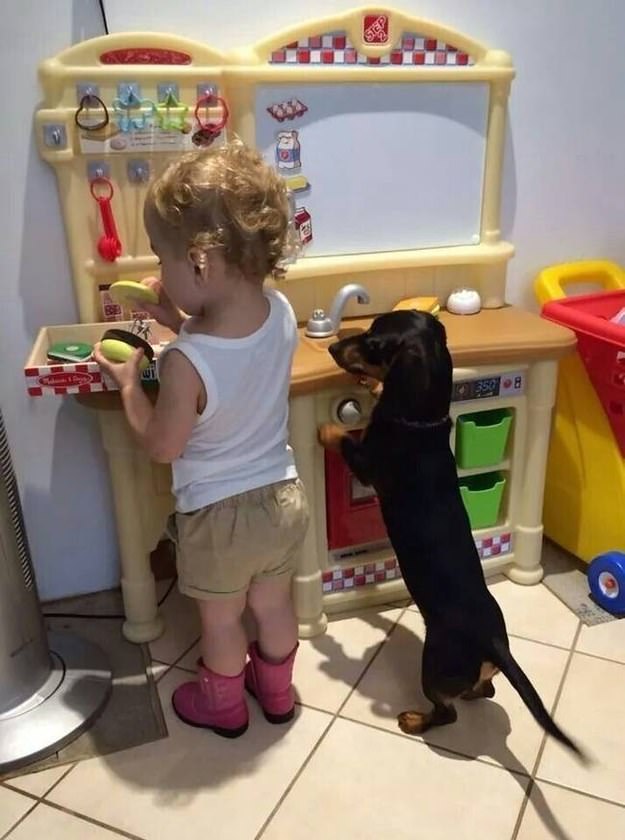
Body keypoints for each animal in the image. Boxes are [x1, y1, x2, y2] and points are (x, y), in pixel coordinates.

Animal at [320, 310, 584, 760]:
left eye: (373, 341)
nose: (333, 347)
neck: (419, 422)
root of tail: (494, 643)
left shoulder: (367, 464)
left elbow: (343, 439)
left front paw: (324, 428)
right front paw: (374, 386)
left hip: (434, 665)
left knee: (448, 712)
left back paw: (414, 720)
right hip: (474, 673)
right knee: (486, 690)